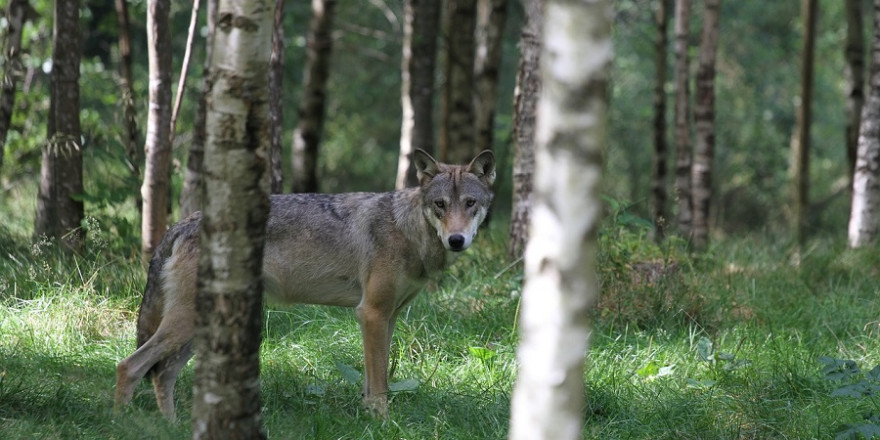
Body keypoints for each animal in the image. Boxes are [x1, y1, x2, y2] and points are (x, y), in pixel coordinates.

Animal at [115, 149, 496, 420]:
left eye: (470, 204)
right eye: (440, 205)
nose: (457, 240)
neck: (408, 231)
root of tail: (183, 223)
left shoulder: (388, 318)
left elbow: (375, 379)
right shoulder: (371, 314)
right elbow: (379, 384)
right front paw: (382, 423)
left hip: (197, 330)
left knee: (162, 375)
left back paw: (171, 427)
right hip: (185, 325)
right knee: (129, 366)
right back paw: (120, 421)